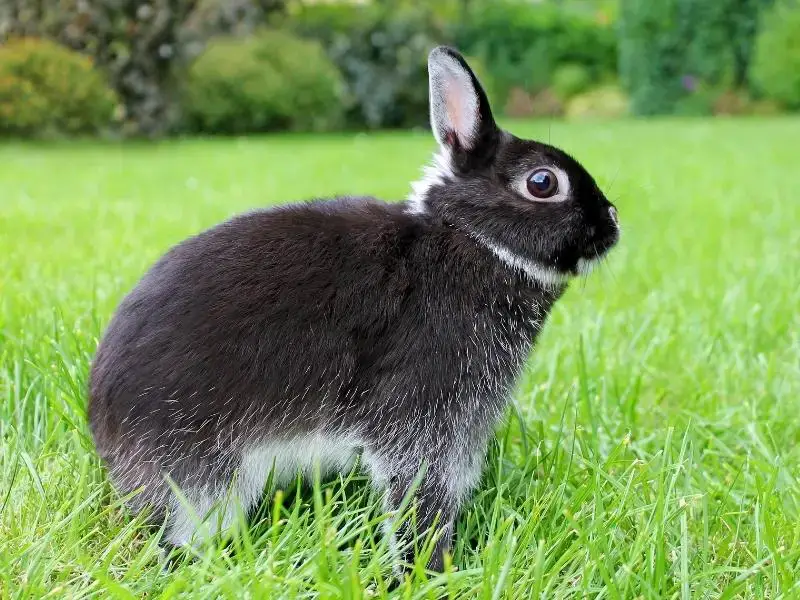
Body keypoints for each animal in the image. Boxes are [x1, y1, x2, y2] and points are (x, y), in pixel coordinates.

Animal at [90, 47, 620, 572]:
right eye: (543, 182)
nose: (613, 221)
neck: (474, 240)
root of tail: (107, 432)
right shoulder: (423, 413)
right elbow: (418, 492)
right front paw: (430, 567)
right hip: (206, 467)